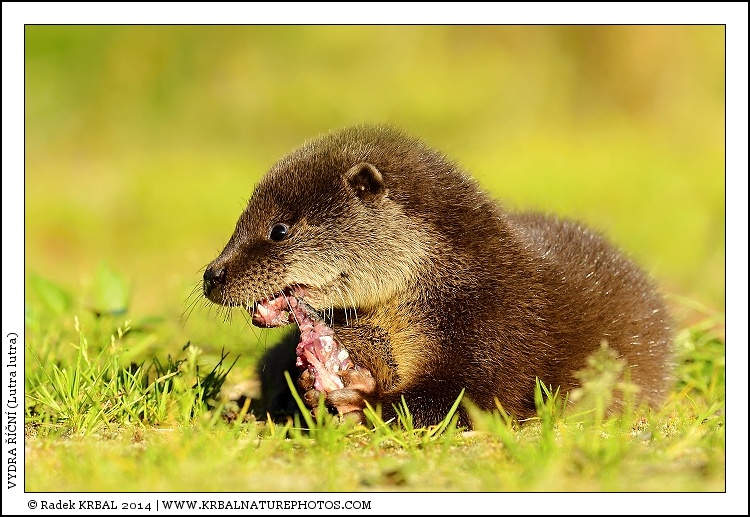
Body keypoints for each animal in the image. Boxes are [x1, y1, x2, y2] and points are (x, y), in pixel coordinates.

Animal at [203, 125, 673, 428]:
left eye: (279, 230)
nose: (212, 274)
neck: (454, 283)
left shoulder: (496, 328)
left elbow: (465, 397)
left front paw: (363, 401)